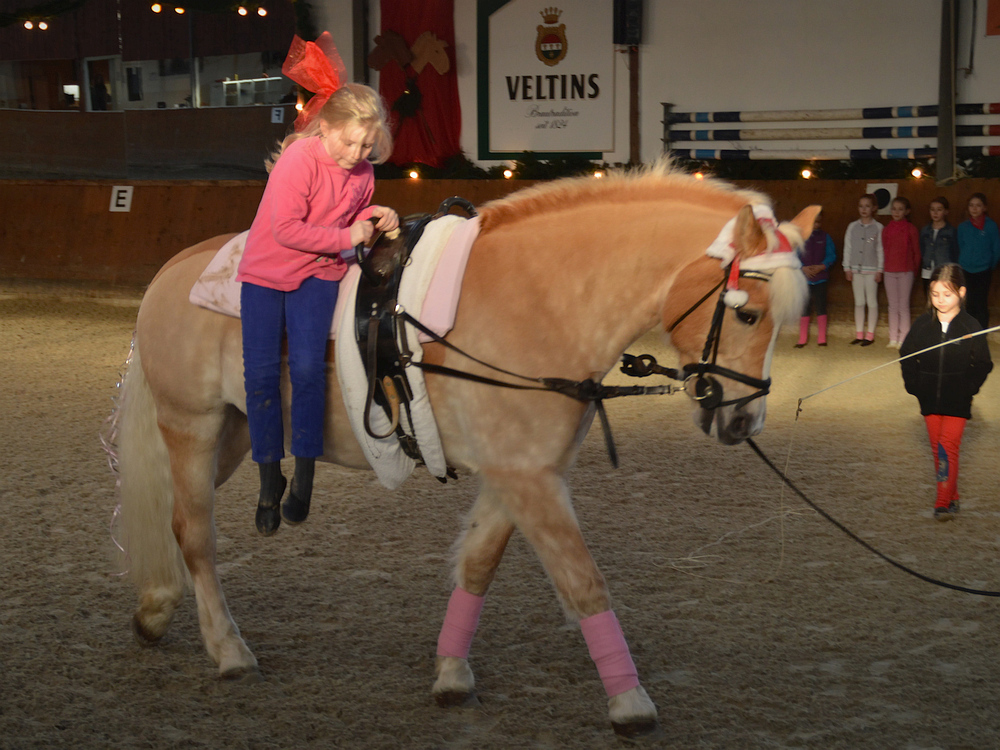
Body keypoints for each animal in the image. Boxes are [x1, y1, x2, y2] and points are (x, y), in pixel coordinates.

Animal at [115, 162, 820, 744]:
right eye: (749, 315)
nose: (743, 419)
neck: (542, 299)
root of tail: (174, 268)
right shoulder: (529, 478)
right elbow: (583, 580)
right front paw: (630, 703)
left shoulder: (522, 472)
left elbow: (479, 563)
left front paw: (452, 673)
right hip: (193, 426)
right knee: (194, 531)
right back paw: (227, 651)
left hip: (234, 436)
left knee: (176, 520)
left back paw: (155, 609)